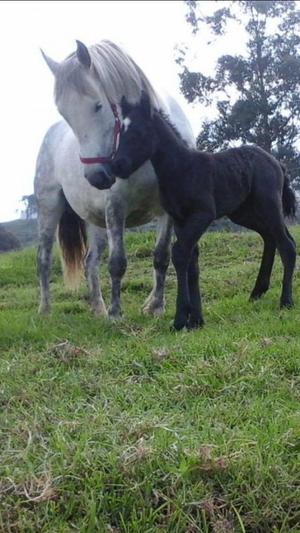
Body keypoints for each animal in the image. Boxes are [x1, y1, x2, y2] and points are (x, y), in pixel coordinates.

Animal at [35, 41, 195, 318]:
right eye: (65, 114)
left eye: (98, 105)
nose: (97, 176)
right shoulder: (116, 208)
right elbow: (118, 262)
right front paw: (116, 313)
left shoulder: (167, 209)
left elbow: (161, 257)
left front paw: (156, 306)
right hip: (49, 209)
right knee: (44, 258)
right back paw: (45, 310)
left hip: (95, 220)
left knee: (90, 262)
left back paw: (98, 307)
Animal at [109, 93, 296, 330]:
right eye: (119, 133)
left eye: (138, 133)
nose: (116, 165)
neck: (181, 168)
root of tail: (277, 163)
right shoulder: (181, 220)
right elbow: (192, 263)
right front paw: (196, 319)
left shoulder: (202, 215)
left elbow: (180, 254)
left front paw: (180, 319)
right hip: (244, 213)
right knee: (270, 238)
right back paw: (257, 292)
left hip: (269, 206)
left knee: (287, 245)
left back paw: (286, 301)